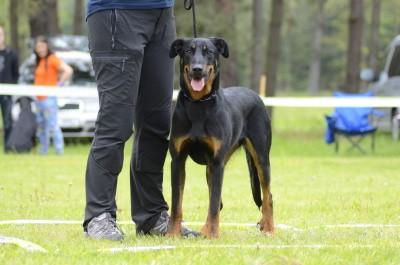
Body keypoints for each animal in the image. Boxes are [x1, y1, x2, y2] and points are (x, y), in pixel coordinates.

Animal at [167, 37, 274, 237]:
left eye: (209, 51)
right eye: (188, 51)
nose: (197, 69)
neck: (198, 103)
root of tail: (255, 95)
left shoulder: (217, 162)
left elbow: (214, 204)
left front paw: (213, 235)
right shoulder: (178, 160)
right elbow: (177, 203)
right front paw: (172, 234)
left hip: (261, 158)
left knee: (267, 196)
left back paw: (270, 228)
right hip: (210, 168)